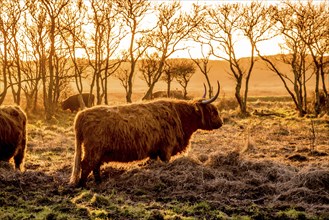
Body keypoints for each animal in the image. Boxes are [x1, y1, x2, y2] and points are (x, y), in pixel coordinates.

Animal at [70, 81, 222, 186]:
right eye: (213, 111)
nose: (221, 123)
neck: (181, 116)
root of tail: (82, 114)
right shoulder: (166, 149)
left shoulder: (154, 151)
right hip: (93, 150)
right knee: (86, 165)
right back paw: (83, 185)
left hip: (97, 152)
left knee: (94, 166)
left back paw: (99, 182)